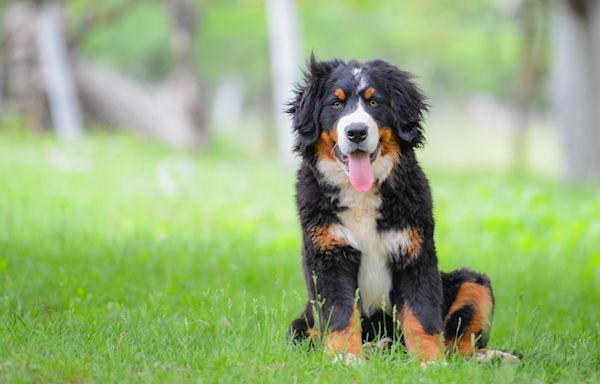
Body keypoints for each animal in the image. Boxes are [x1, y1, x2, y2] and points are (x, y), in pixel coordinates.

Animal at [286, 56, 510, 364]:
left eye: (375, 102)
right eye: (336, 103)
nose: (357, 132)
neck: (361, 195)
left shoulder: (414, 252)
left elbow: (420, 314)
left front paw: (430, 361)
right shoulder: (328, 254)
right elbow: (340, 314)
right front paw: (346, 357)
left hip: (473, 283)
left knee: (459, 342)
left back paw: (493, 357)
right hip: (301, 325)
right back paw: (375, 347)